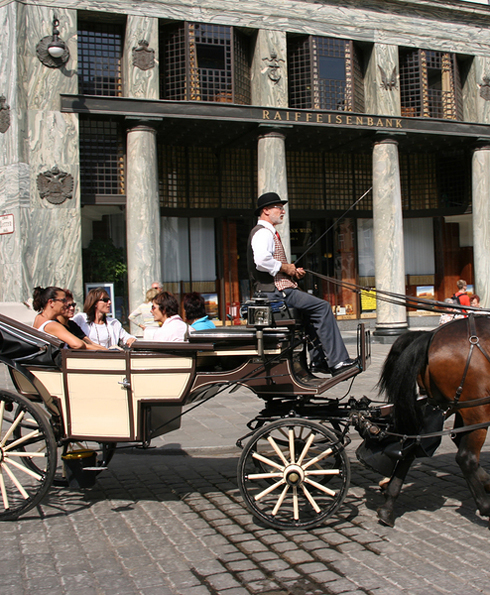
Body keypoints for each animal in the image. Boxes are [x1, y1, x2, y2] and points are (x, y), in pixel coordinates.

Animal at [376, 314, 490, 527]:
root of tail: (430, 337)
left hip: (451, 405)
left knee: (411, 448)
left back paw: (388, 507)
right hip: (476, 408)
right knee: (466, 457)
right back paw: (486, 506)